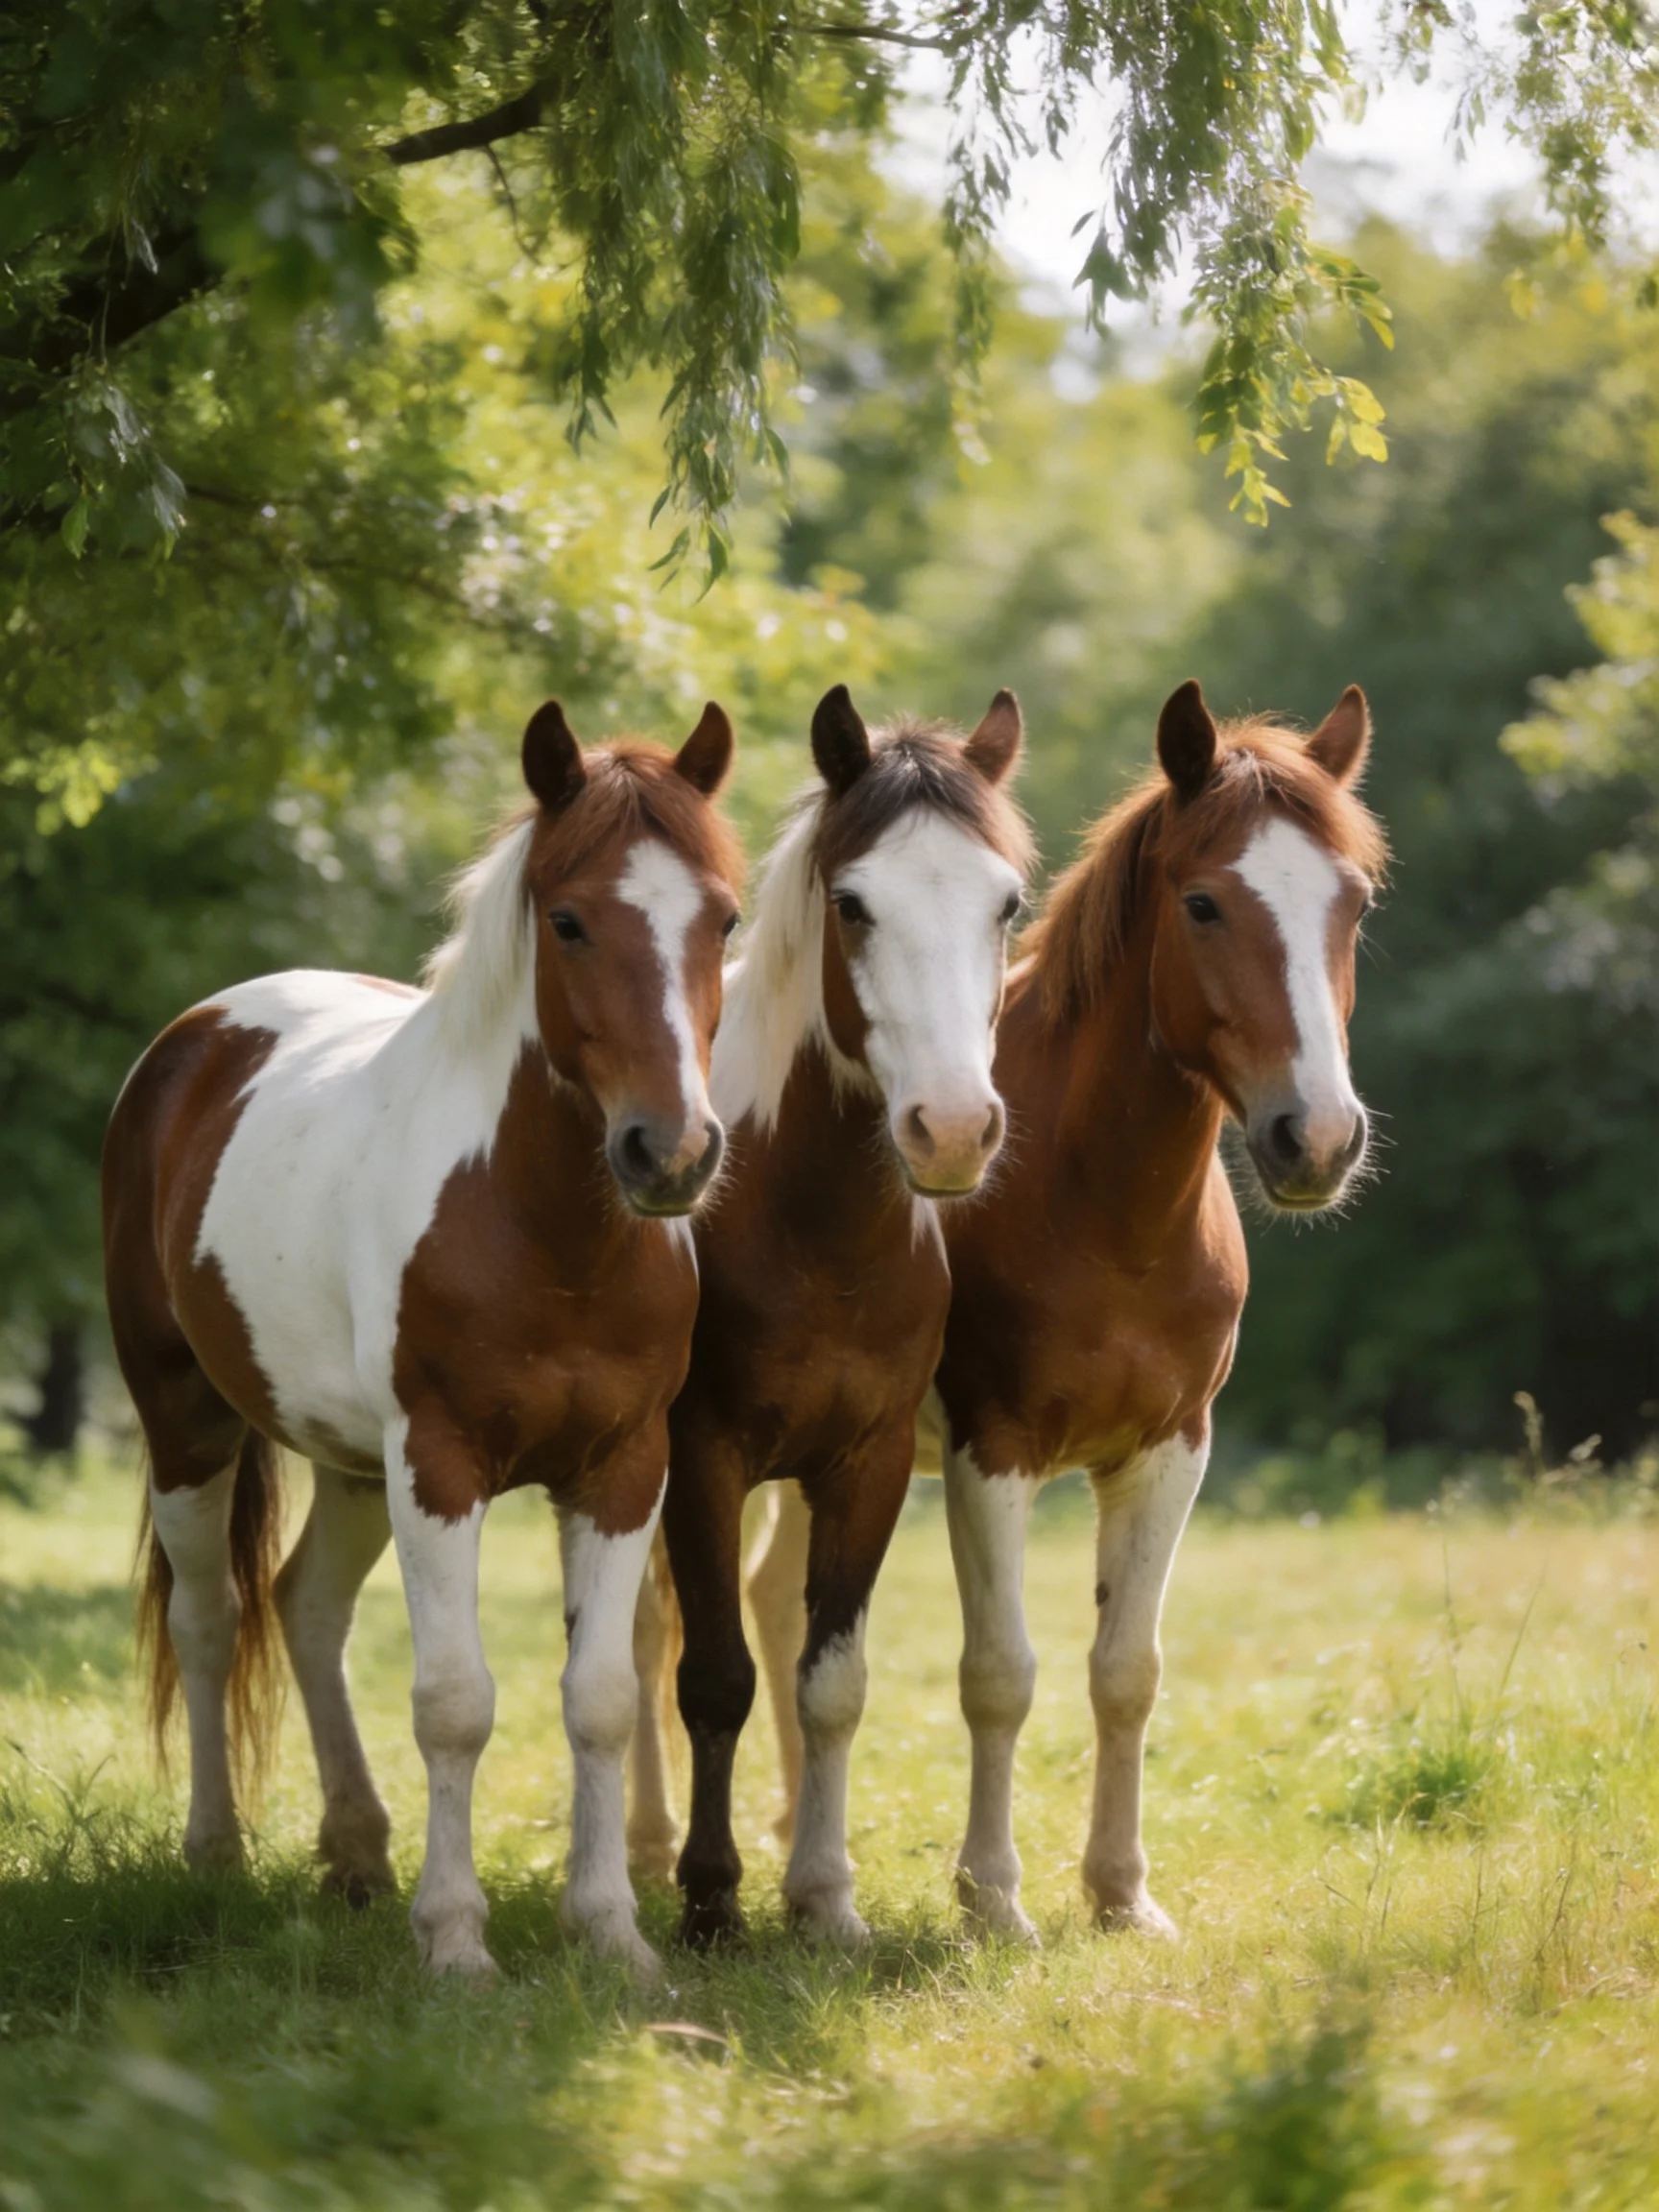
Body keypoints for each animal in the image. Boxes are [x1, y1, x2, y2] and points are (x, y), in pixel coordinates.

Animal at [102, 699, 743, 1980]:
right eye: (568, 920)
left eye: (727, 916)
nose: (672, 1154)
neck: (541, 1231)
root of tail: (192, 1041)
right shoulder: (441, 1467)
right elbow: (454, 1700)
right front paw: (455, 1942)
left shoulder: (621, 1470)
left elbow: (599, 1697)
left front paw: (611, 1932)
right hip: (187, 1425)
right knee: (211, 1620)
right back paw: (216, 1855)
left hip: (355, 1464)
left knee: (305, 1610)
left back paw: (355, 1854)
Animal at [656, 685, 1032, 1948]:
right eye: (854, 904)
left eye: (1009, 904)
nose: (953, 1130)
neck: (809, 1229)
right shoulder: (701, 1458)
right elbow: (714, 1676)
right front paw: (711, 1899)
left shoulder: (864, 1468)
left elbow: (831, 1681)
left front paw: (822, 1897)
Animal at [740, 680, 1386, 1939]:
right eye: (1203, 903)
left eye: (1354, 901)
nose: (1319, 1138)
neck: (1104, 1210)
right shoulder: (992, 1454)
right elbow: (1000, 1675)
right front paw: (994, 1898)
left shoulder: (1171, 1450)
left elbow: (1126, 1670)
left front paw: (1122, 1893)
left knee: (779, 1610)